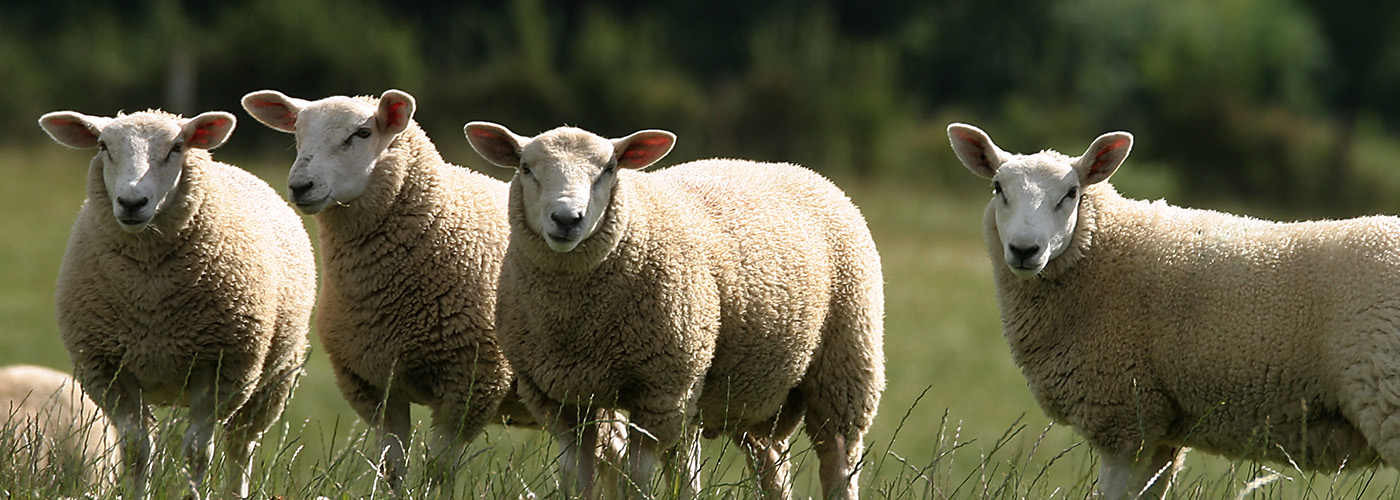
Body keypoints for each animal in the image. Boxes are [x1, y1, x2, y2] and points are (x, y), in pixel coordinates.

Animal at [38, 109, 316, 500]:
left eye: (177, 148)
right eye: (103, 146)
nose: (131, 203)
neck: (150, 294)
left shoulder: (220, 368)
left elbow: (197, 452)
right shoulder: (109, 369)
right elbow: (137, 450)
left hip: (274, 378)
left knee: (240, 445)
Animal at [240, 89, 626, 497]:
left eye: (362, 133)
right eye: (298, 132)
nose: (300, 185)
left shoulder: (471, 382)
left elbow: (437, 471)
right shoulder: (376, 385)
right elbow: (392, 468)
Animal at [464, 122, 886, 500]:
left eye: (609, 169)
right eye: (526, 168)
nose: (567, 219)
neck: (577, 320)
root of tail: (798, 169)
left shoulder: (662, 390)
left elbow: (636, 477)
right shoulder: (557, 397)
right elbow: (575, 478)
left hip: (844, 366)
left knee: (838, 463)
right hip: (750, 392)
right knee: (773, 468)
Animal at [947, 122, 1400, 499]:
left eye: (1071, 194)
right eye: (997, 188)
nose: (1025, 249)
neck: (1103, 255)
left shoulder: (1124, 414)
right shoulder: (1161, 428)